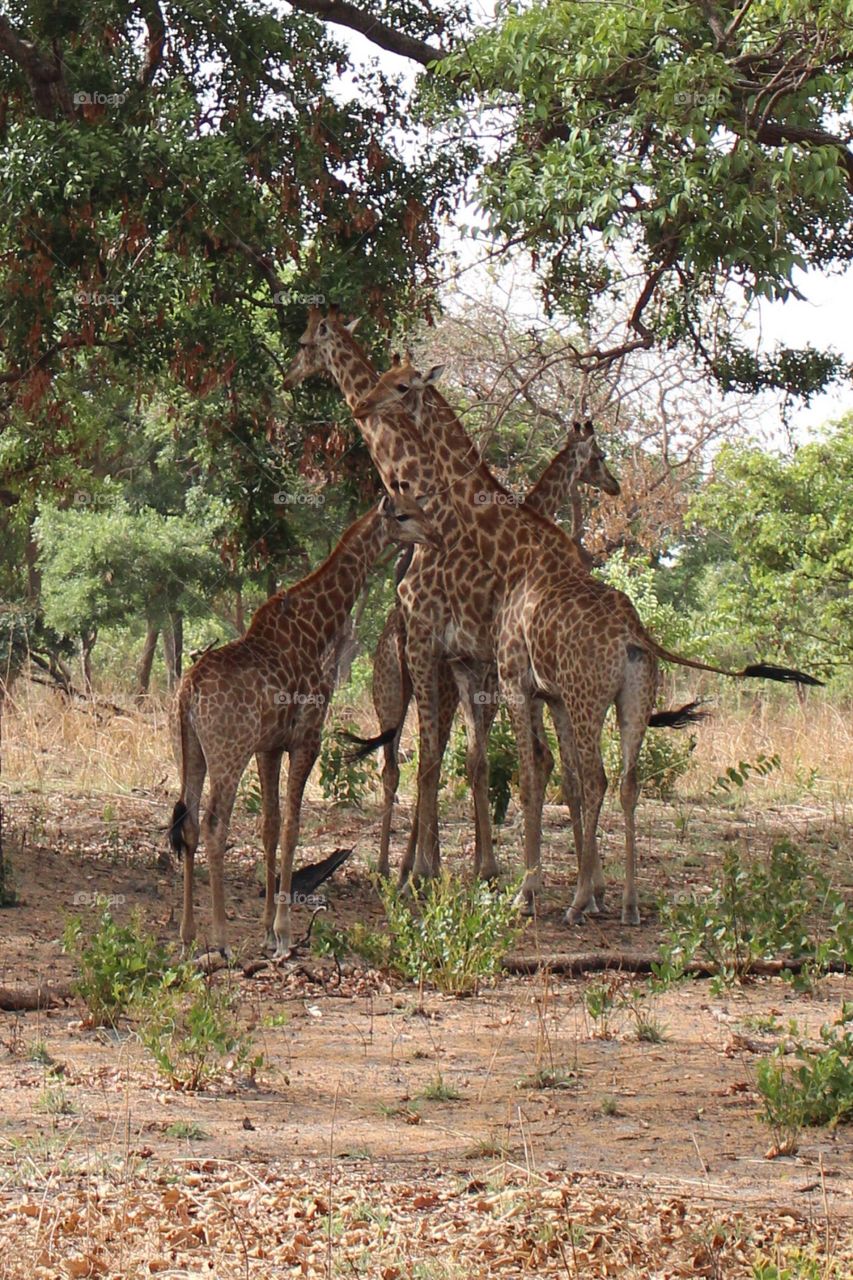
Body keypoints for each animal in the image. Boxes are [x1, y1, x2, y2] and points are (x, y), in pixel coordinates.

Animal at [170, 488, 440, 962]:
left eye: (419, 509)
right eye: (404, 515)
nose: (435, 536)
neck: (317, 628)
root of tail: (188, 692)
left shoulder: (269, 746)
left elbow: (270, 827)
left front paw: (265, 929)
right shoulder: (306, 739)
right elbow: (294, 828)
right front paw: (283, 933)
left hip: (192, 751)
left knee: (189, 824)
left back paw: (186, 937)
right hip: (228, 751)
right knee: (215, 823)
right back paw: (220, 939)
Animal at [345, 419, 617, 880]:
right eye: (599, 456)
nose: (614, 484)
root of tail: (393, 630)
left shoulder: (481, 675)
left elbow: (486, 761)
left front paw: (480, 863)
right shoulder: (496, 675)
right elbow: (519, 762)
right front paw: (488, 865)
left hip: (405, 689)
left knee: (405, 763)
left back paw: (400, 866)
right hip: (403, 687)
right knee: (414, 763)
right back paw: (407, 867)